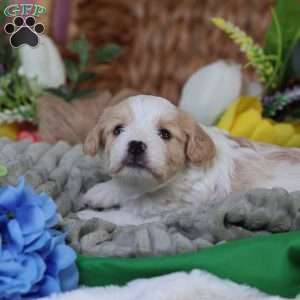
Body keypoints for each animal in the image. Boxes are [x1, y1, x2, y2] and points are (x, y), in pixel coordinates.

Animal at [81, 95, 300, 224]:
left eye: (165, 134)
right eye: (117, 130)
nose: (136, 145)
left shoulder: (160, 216)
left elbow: (121, 217)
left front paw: (88, 216)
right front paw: (101, 191)